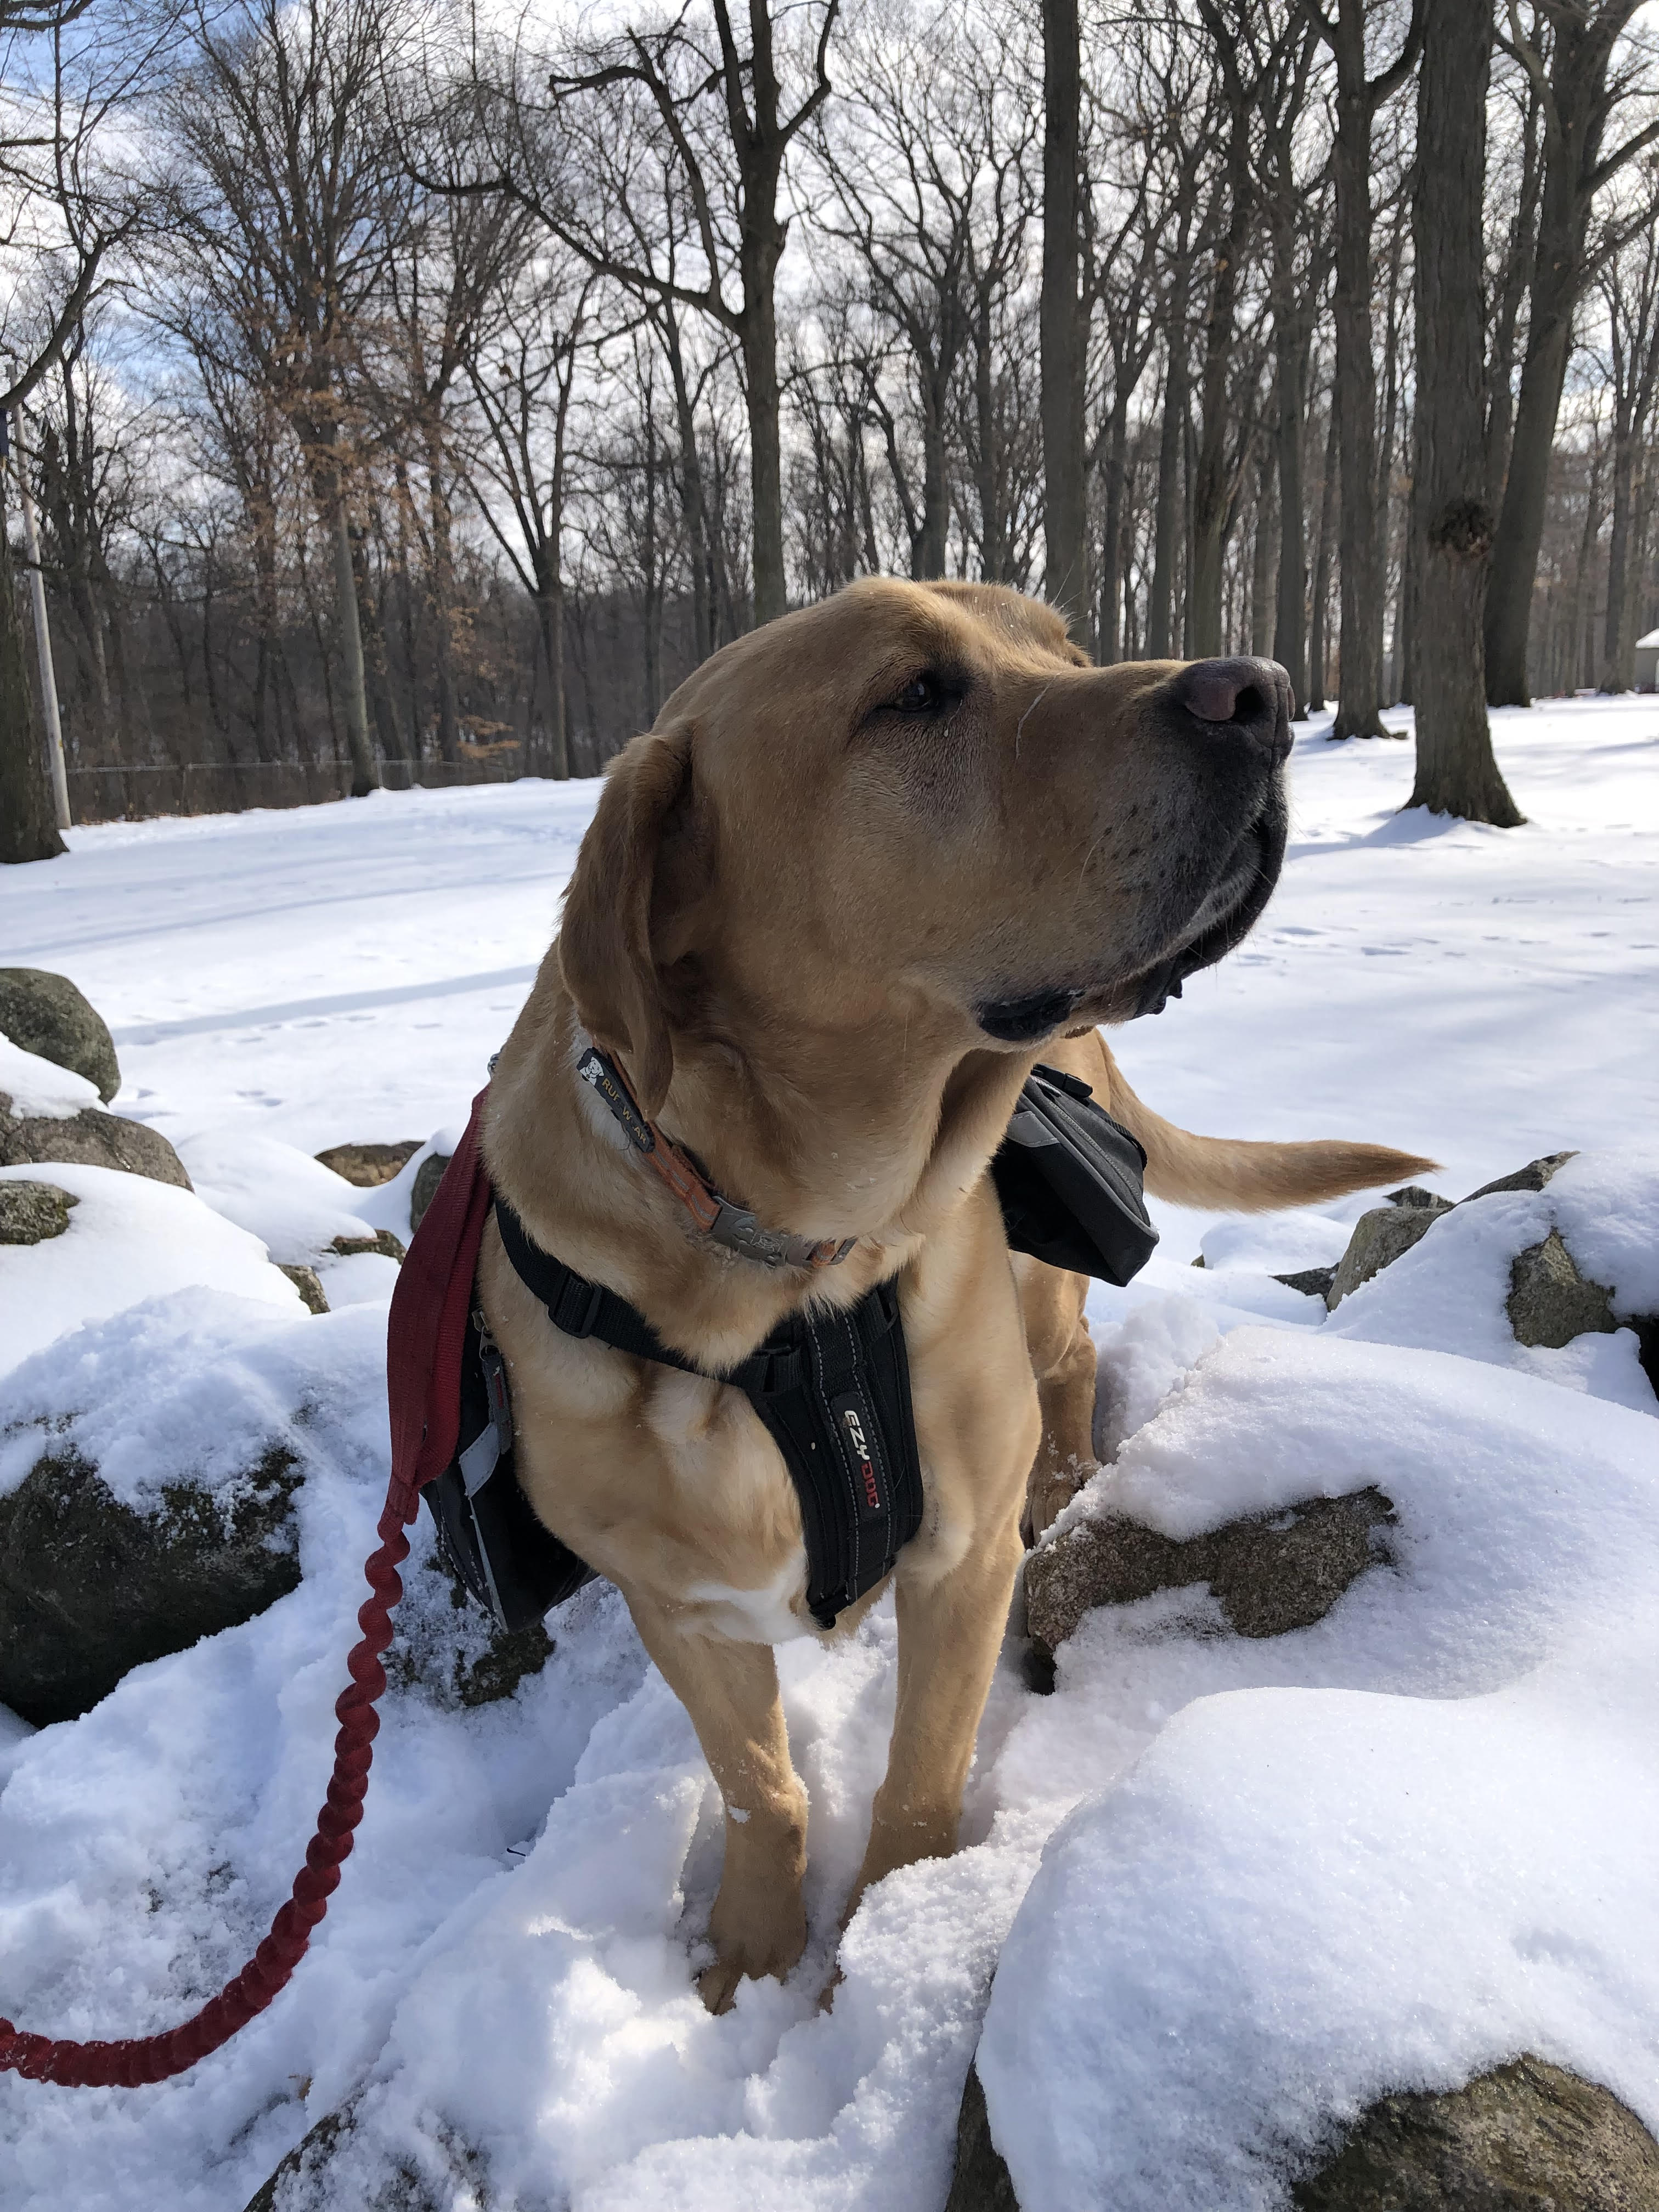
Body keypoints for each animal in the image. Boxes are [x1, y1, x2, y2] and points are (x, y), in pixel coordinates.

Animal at [477, 578, 1434, 2012]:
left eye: (1067, 650)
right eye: (915, 694)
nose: (1261, 691)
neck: (779, 1275)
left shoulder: (961, 1560)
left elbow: (918, 1785)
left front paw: (871, 1956)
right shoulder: (677, 1606)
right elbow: (760, 1788)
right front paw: (753, 1949)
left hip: (1037, 1308)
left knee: (1073, 1370)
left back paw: (1067, 1481)